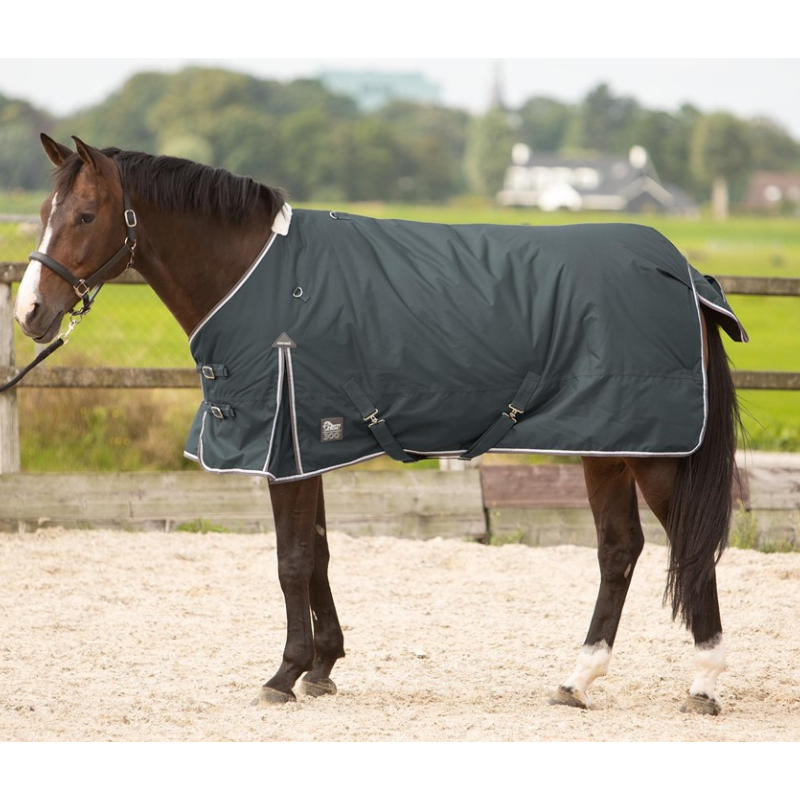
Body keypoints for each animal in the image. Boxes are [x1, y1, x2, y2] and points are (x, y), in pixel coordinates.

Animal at [15, 134, 746, 715]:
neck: (258, 276)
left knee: (686, 547)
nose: (30, 314)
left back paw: (704, 684)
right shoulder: (307, 444)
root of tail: (682, 271)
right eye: (44, 214)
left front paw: (283, 675)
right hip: (607, 443)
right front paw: (322, 666)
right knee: (619, 549)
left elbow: (291, 561)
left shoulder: (287, 445)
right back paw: (578, 679)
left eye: (84, 215)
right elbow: (319, 555)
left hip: (651, 450)